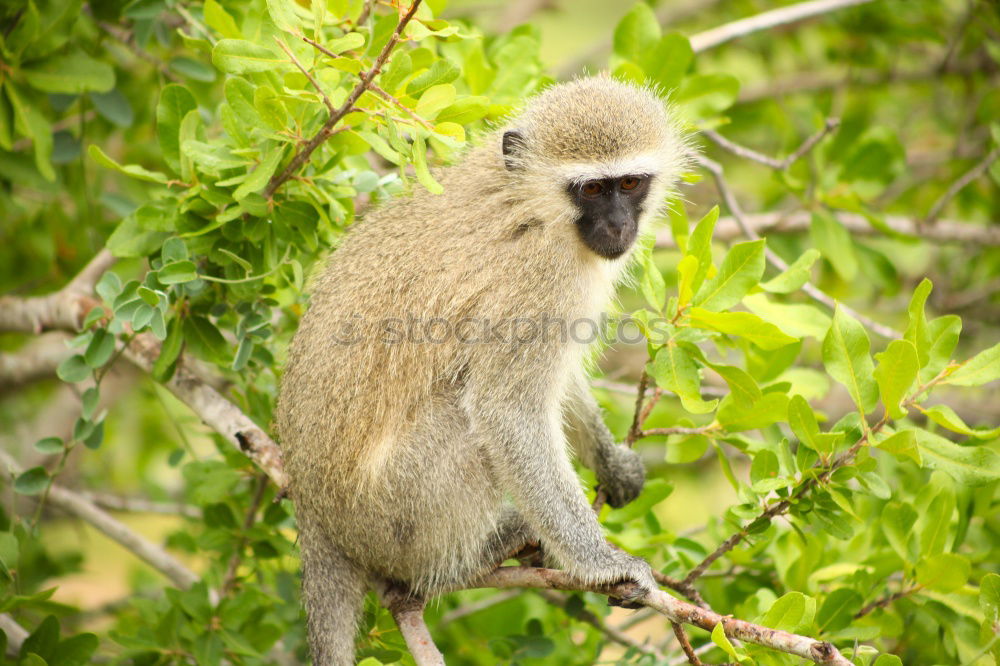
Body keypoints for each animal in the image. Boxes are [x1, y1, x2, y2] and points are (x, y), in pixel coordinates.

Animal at [278, 75, 692, 660]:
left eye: (630, 183)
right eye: (590, 190)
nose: (617, 226)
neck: (531, 203)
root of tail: (316, 516)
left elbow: (556, 383)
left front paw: (610, 461)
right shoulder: (540, 278)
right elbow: (508, 410)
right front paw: (603, 566)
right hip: (393, 514)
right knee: (467, 424)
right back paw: (478, 551)